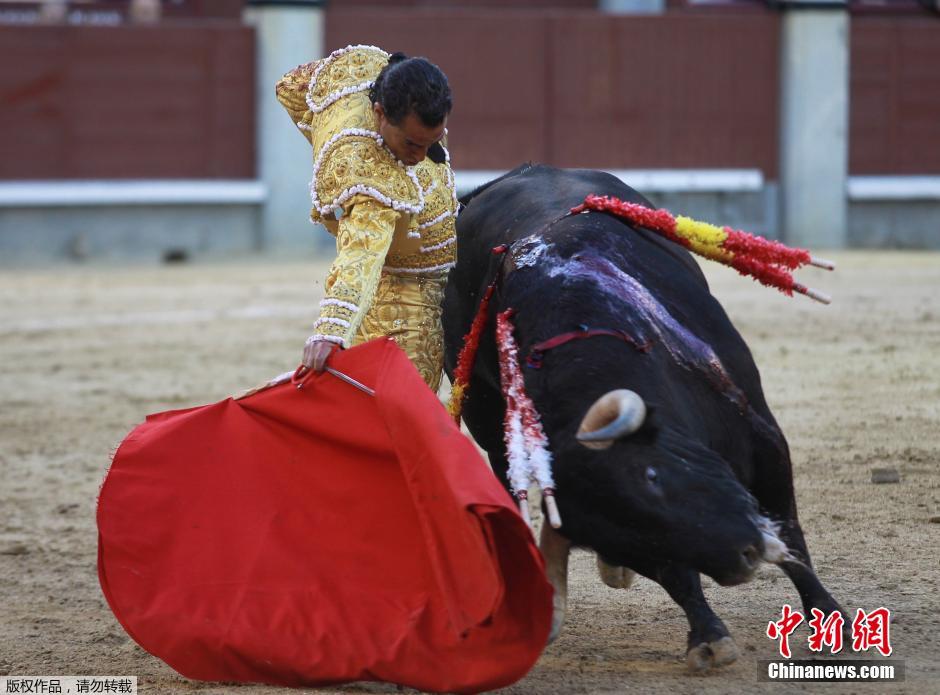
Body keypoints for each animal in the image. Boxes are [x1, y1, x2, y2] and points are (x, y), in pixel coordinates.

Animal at [444, 166, 848, 672]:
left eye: (653, 477)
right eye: (632, 543)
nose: (745, 555)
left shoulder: (764, 437)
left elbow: (790, 533)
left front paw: (830, 619)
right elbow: (679, 577)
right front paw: (708, 636)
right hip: (487, 423)